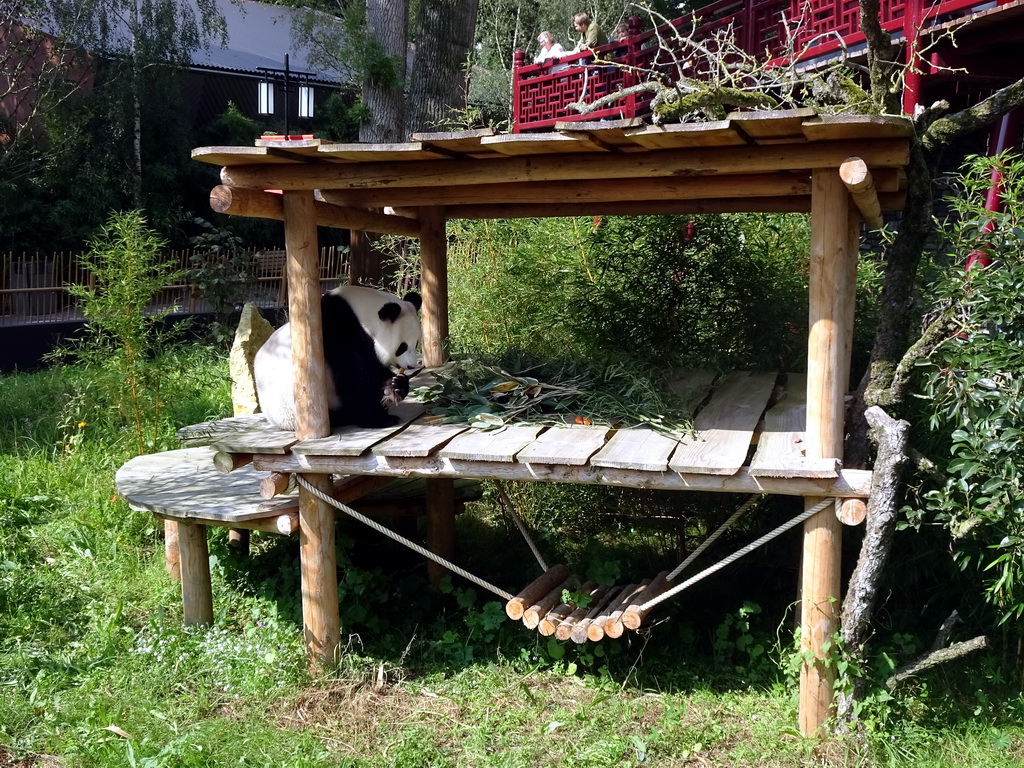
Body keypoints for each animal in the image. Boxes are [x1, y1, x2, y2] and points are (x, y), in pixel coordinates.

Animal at [256, 286, 423, 434]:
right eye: (402, 347)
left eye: (416, 343)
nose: (411, 365)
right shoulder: (342, 332)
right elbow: (356, 377)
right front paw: (378, 419)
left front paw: (395, 387)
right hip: (292, 406)